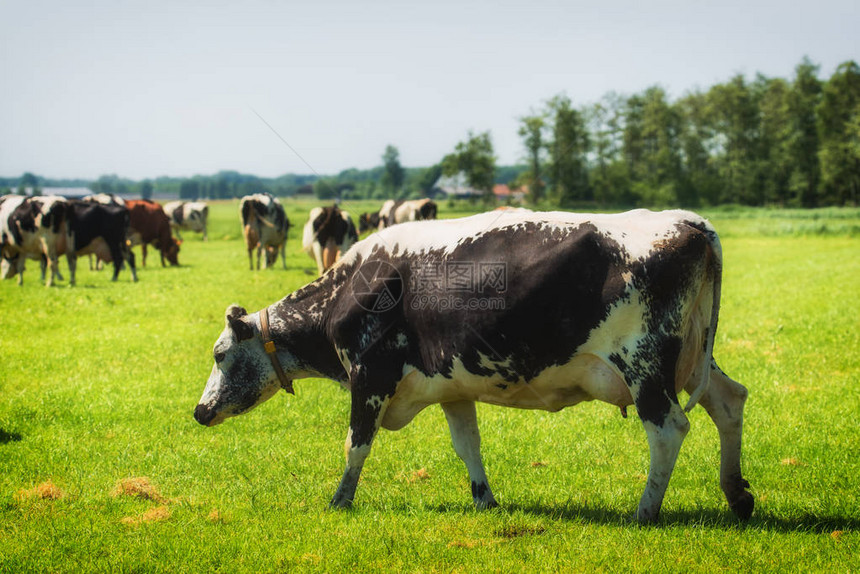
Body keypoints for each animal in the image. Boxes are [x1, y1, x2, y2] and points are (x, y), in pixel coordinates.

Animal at [195, 209, 752, 524]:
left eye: (220, 355)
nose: (200, 411)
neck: (349, 287)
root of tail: (686, 222)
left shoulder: (369, 374)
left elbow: (356, 443)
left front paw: (339, 500)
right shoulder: (452, 385)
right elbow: (468, 445)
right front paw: (484, 498)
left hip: (645, 366)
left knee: (668, 428)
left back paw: (645, 510)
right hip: (693, 360)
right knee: (729, 401)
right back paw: (737, 494)